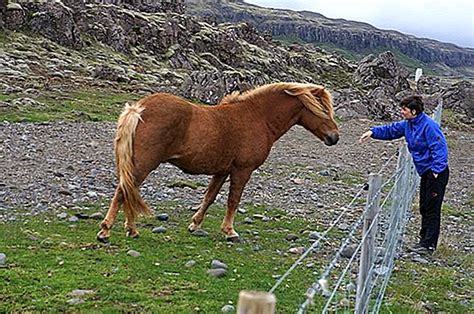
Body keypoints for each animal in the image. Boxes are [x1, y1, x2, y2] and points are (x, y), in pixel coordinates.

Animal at [97, 81, 340, 243]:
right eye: (322, 110)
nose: (334, 137)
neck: (257, 118)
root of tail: (138, 108)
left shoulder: (222, 171)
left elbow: (210, 197)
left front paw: (195, 224)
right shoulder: (242, 170)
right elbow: (233, 200)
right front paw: (230, 231)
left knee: (128, 191)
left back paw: (131, 230)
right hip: (143, 165)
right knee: (122, 192)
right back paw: (106, 231)